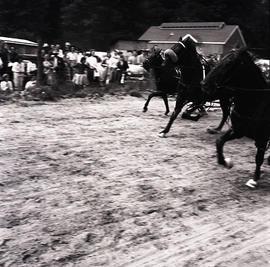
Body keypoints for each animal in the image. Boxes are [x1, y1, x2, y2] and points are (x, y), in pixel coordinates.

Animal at [202, 48, 270, 189]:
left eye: (228, 63)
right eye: (220, 60)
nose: (204, 84)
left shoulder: (262, 138)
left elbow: (258, 158)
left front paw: (254, 179)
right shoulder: (238, 130)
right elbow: (219, 141)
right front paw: (225, 162)